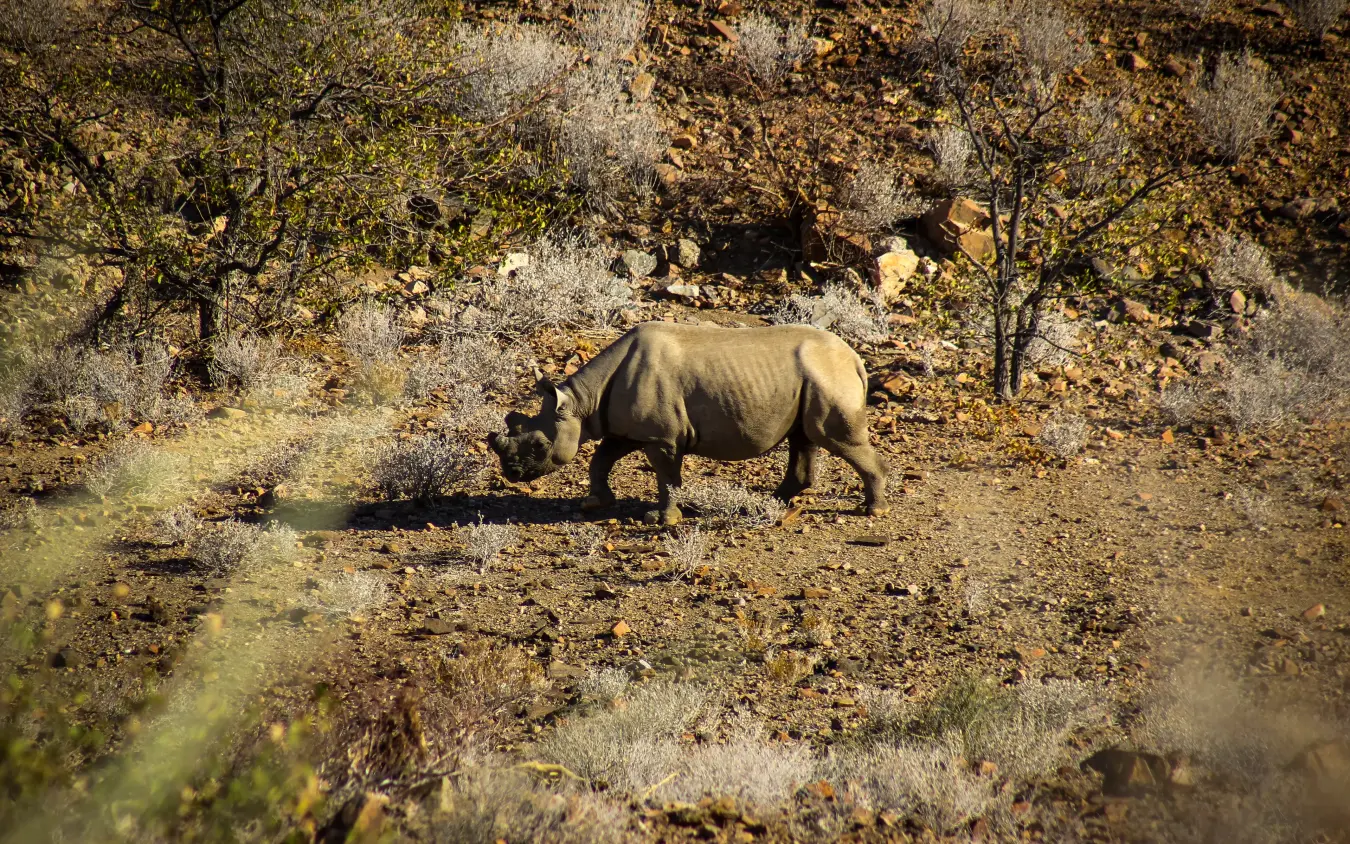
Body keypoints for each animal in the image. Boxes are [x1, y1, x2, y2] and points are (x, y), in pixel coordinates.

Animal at [488, 322, 888, 525]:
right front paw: (596, 503)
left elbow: (666, 477)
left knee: (833, 438)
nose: (511, 473)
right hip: (812, 378)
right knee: (803, 437)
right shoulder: (628, 428)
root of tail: (855, 358)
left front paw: (662, 519)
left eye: (539, 445)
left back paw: (873, 510)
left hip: (826, 376)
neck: (585, 400)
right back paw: (770, 502)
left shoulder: (660, 436)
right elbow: (600, 459)